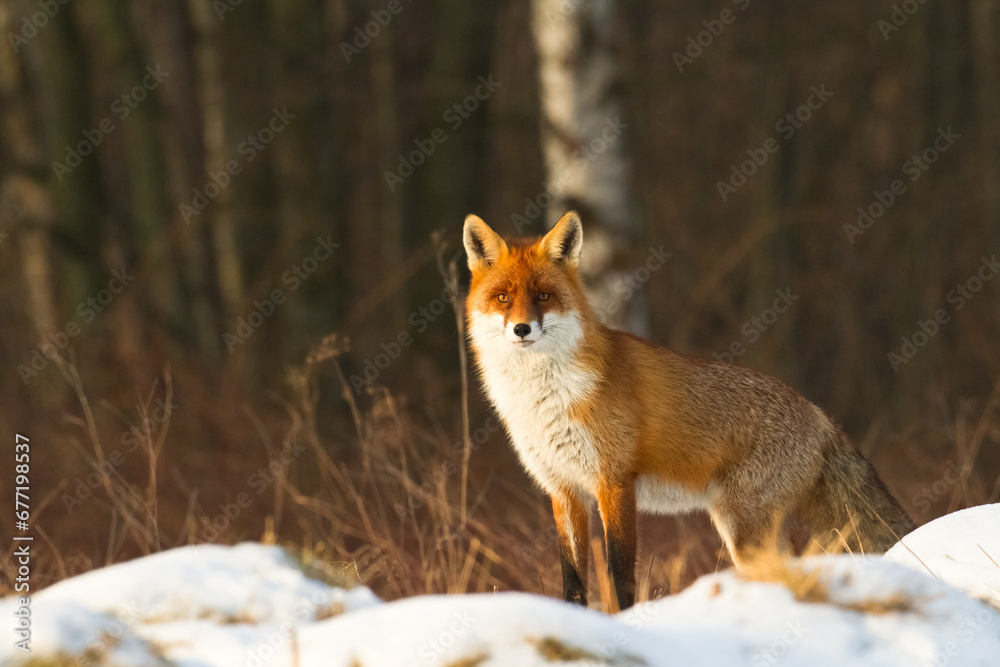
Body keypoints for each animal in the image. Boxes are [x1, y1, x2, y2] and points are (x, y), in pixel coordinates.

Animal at [463, 210, 916, 610]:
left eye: (543, 296)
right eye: (503, 298)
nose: (522, 329)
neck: (545, 399)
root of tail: (820, 415)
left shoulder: (614, 482)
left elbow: (620, 574)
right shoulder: (563, 489)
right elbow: (572, 582)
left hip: (742, 527)